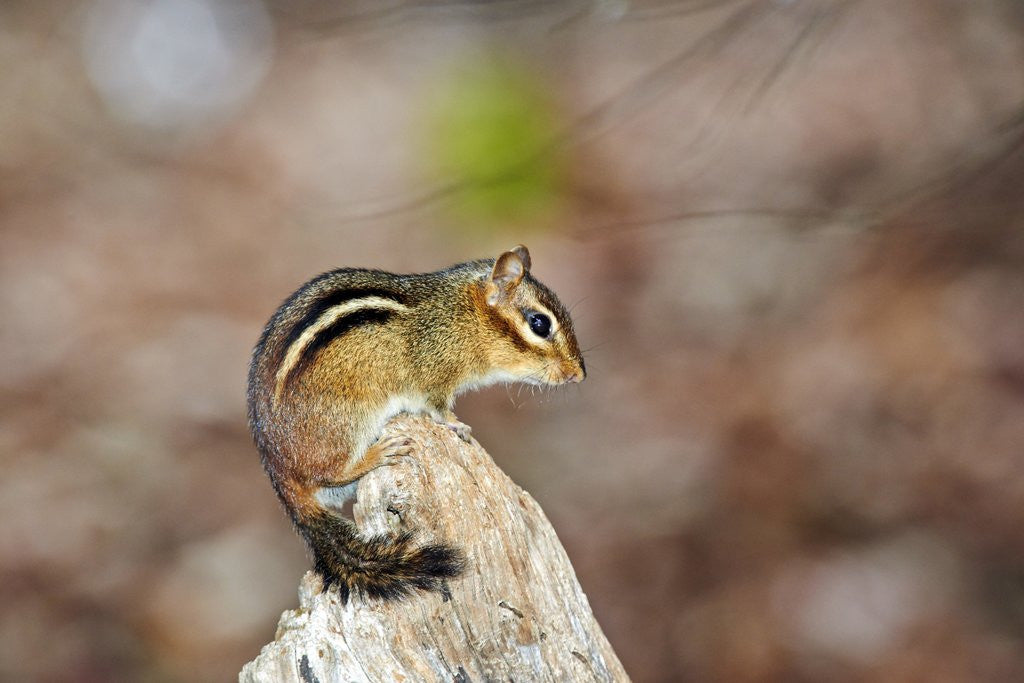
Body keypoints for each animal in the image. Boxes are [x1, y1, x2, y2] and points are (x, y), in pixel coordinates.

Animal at [247, 245, 586, 602]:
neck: (466, 314)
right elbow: (438, 409)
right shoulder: (435, 380)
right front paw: (457, 425)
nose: (579, 374)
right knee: (331, 471)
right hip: (348, 423)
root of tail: (279, 474)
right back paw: (379, 453)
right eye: (539, 323)